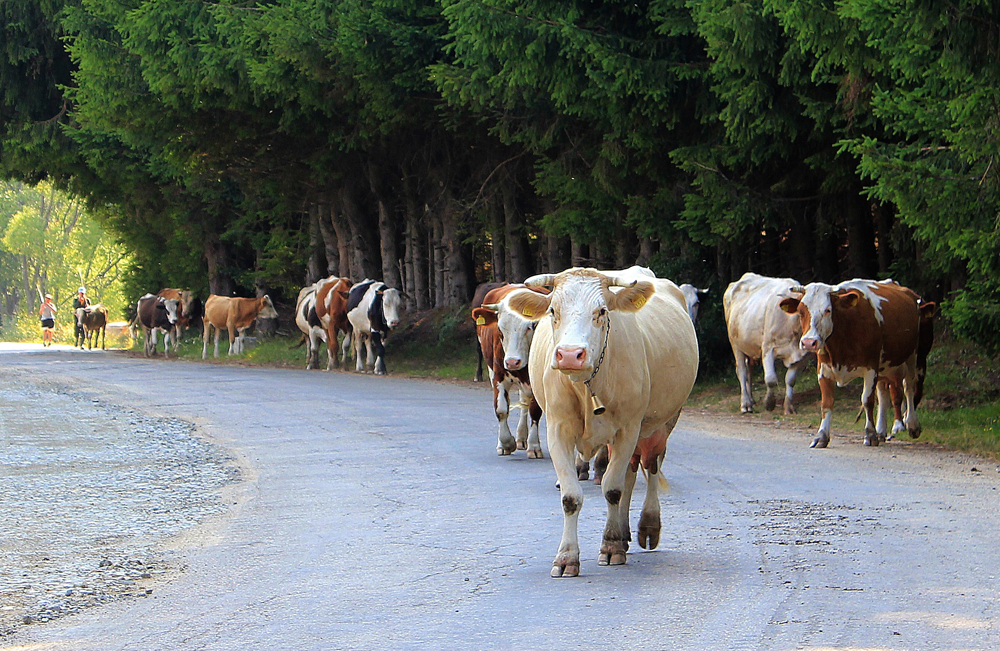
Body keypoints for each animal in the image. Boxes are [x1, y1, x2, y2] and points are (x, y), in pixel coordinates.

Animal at [470, 284, 548, 458]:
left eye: (530, 326)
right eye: (500, 328)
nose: (512, 362)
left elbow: (535, 410)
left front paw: (534, 445)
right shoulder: (499, 375)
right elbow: (501, 409)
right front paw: (506, 443)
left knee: (525, 403)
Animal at [512, 268, 700, 580]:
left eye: (601, 312)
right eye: (553, 310)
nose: (570, 354)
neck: (586, 385)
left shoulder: (628, 428)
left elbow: (612, 488)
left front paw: (610, 547)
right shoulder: (558, 429)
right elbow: (571, 497)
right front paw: (567, 557)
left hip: (663, 421)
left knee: (649, 466)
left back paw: (646, 526)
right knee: (631, 472)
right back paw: (623, 532)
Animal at [724, 272, 808, 416]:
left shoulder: (799, 354)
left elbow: (790, 380)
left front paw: (788, 407)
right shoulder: (768, 348)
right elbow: (771, 379)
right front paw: (769, 403)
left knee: (749, 370)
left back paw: (751, 400)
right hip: (735, 343)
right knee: (741, 371)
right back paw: (745, 404)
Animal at [776, 278, 932, 450]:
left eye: (828, 310)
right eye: (801, 311)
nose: (809, 342)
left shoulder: (871, 368)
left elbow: (867, 400)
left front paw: (870, 435)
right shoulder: (823, 369)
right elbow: (827, 403)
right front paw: (821, 436)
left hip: (913, 358)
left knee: (909, 388)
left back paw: (912, 424)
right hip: (884, 366)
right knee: (883, 394)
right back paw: (881, 430)